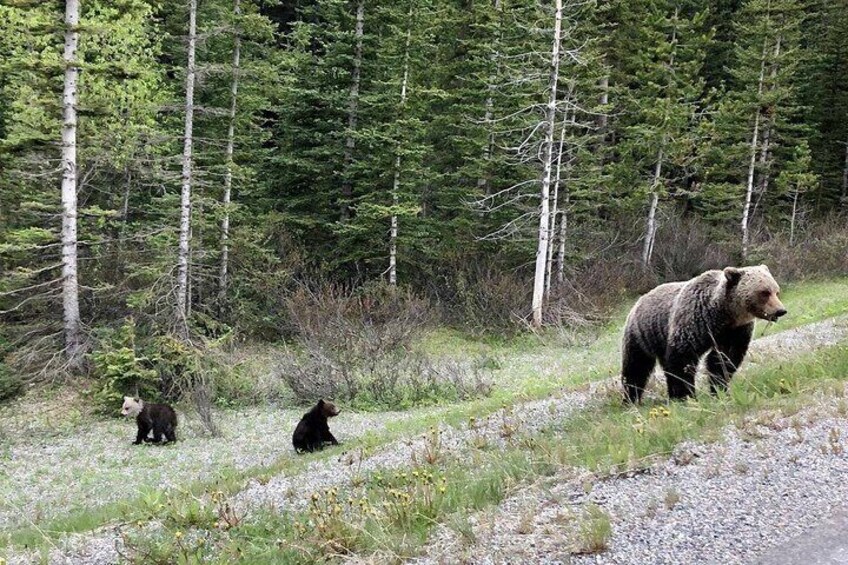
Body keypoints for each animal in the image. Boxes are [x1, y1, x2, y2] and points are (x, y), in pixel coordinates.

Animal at [620, 264, 784, 400]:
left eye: (776, 291)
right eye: (764, 292)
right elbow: (683, 360)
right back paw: (631, 398)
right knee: (636, 367)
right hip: (642, 334)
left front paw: (719, 389)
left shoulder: (735, 331)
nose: (780, 310)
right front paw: (686, 395)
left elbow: (724, 359)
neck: (724, 314)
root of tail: (639, 300)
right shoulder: (694, 322)